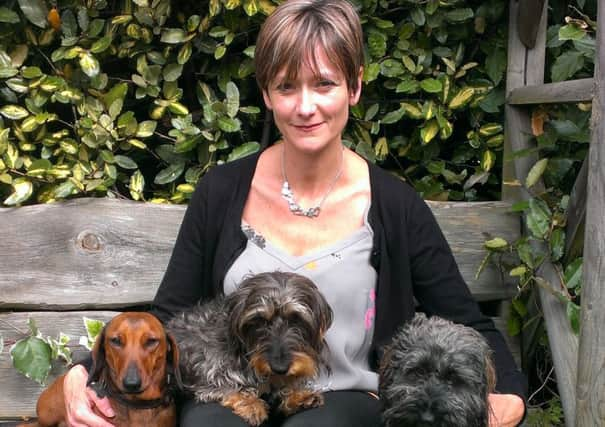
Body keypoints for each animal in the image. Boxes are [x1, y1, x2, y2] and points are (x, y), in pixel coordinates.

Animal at [165, 272, 332, 426]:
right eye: (260, 320)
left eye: (296, 319)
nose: (280, 368)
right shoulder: (210, 376)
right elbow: (230, 387)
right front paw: (251, 405)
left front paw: (300, 395)